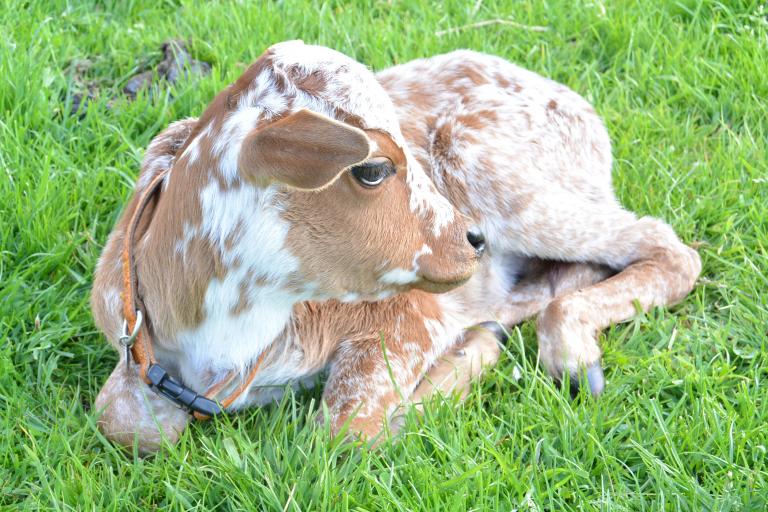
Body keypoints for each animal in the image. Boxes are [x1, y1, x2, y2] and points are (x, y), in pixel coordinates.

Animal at [91, 42, 704, 454]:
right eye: (372, 169)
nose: (472, 239)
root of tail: (579, 105)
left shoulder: (410, 312)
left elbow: (346, 432)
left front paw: (474, 349)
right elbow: (120, 421)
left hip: (491, 161)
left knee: (667, 246)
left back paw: (570, 359)